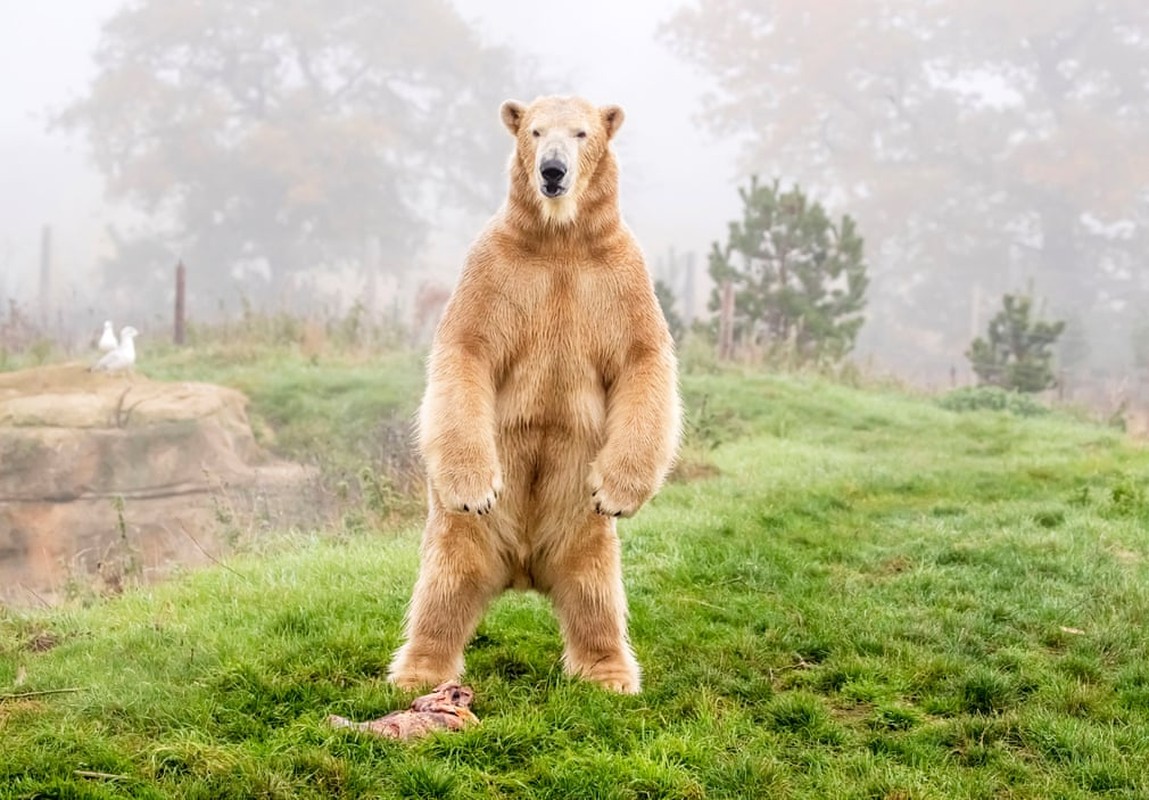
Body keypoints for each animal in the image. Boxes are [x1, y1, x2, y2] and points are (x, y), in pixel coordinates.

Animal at [390, 93, 684, 694]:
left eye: (581, 133)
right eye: (534, 131)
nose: (552, 171)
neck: (559, 238)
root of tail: (523, 568)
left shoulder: (620, 274)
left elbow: (643, 358)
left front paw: (618, 492)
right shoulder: (496, 268)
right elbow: (467, 349)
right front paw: (474, 486)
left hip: (579, 523)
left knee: (596, 590)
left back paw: (609, 673)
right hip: (465, 532)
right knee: (444, 583)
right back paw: (418, 672)